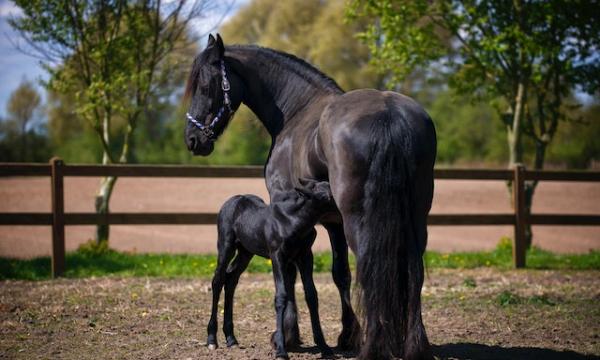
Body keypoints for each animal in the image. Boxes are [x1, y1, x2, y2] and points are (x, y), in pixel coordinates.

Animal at [209, 179, 336, 358]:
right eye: (328, 197)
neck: (294, 221)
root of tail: (232, 201)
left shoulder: (305, 256)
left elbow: (311, 295)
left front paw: (324, 347)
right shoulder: (277, 256)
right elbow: (281, 296)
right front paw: (281, 350)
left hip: (246, 252)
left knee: (231, 279)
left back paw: (231, 338)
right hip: (226, 245)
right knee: (218, 280)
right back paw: (212, 339)